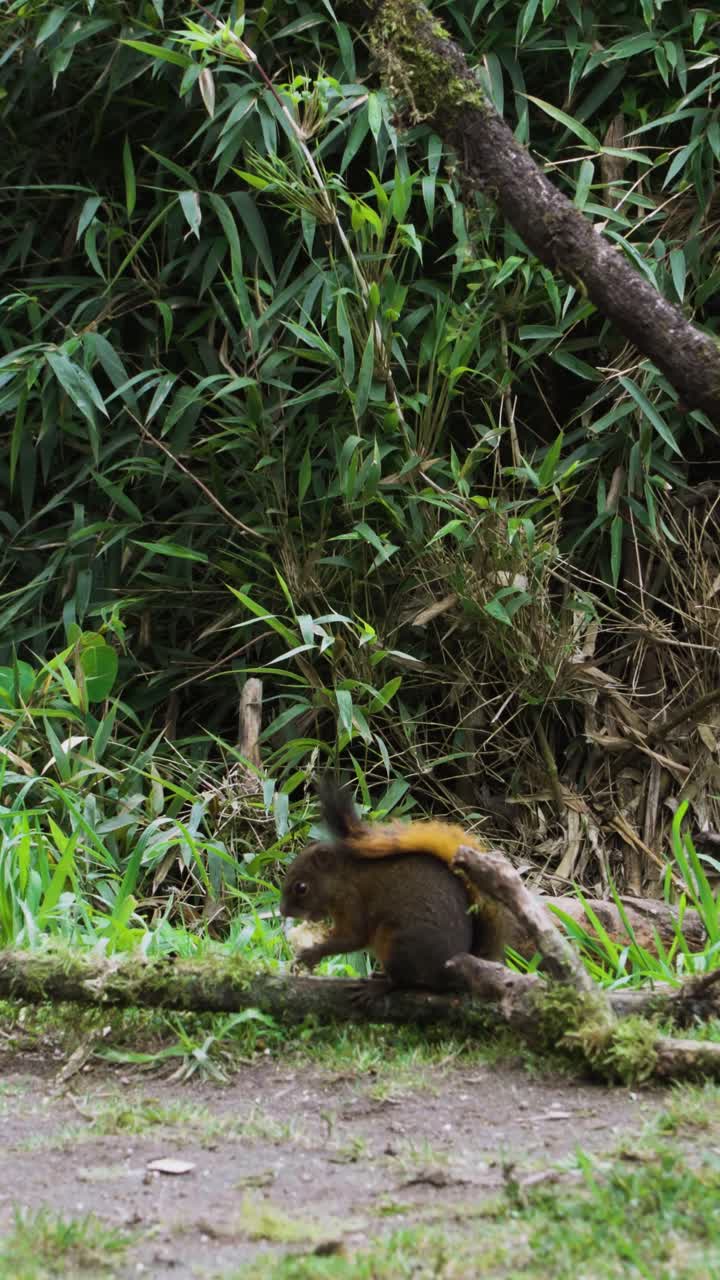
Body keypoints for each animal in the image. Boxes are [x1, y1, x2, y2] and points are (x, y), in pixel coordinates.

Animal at [279, 780, 506, 995]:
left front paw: (311, 953)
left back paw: (378, 986)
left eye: (301, 887)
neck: (343, 878)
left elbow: (353, 937)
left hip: (397, 944)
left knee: (402, 981)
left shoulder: (352, 900)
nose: (282, 911)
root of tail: (452, 974)